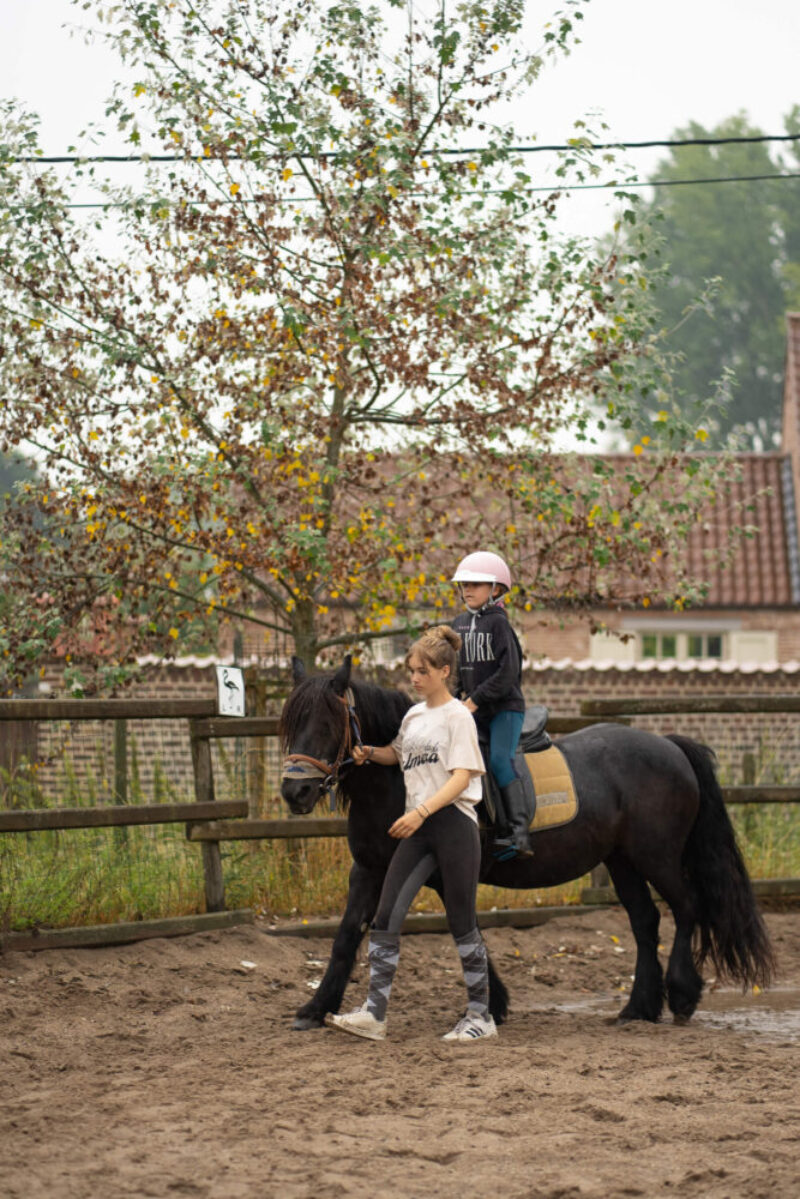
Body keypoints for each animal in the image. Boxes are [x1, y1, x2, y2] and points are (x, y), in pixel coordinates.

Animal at [281, 657, 777, 1031]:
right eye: (290, 722)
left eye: (328, 722)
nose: (294, 793)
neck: (403, 778)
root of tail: (670, 746)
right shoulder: (369, 869)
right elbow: (348, 933)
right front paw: (315, 1009)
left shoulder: (441, 868)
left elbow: (464, 928)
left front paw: (491, 1004)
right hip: (622, 861)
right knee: (645, 921)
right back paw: (638, 1007)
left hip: (658, 855)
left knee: (687, 906)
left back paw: (682, 996)